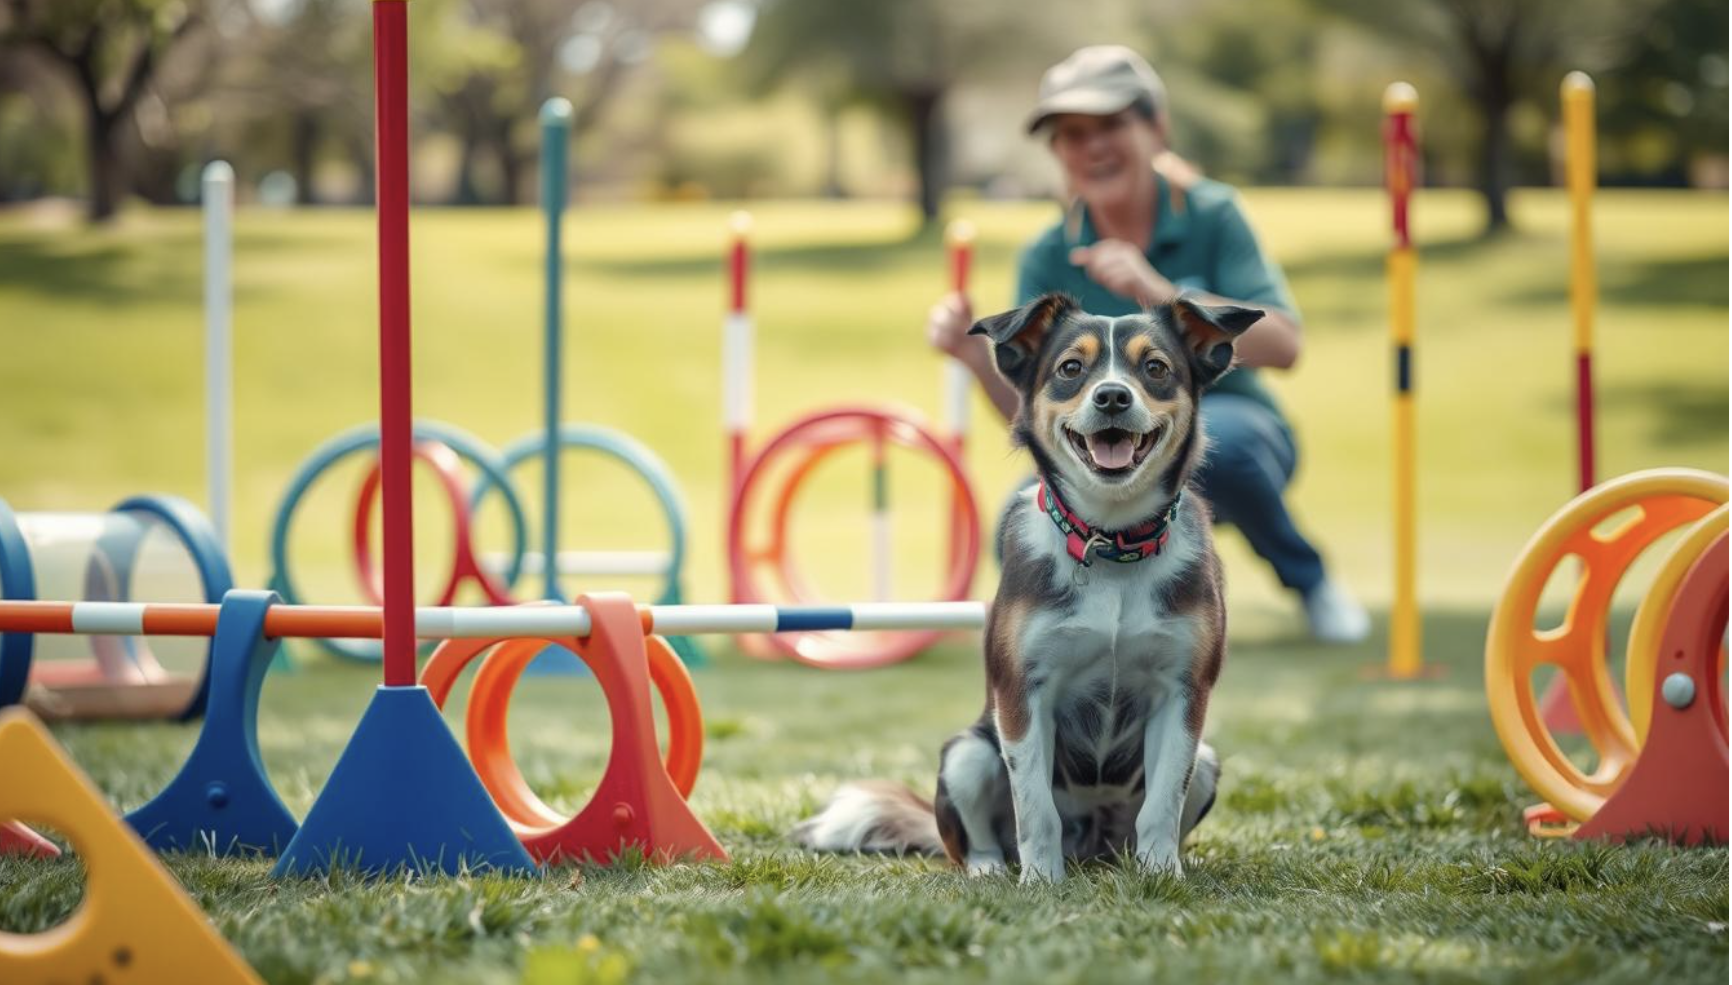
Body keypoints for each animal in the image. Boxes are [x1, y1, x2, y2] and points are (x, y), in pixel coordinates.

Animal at [789, 292, 1260, 882]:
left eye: (1155, 368)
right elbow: (1034, 808)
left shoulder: (1183, 694)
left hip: (1206, 761)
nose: (1112, 396)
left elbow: (1161, 806)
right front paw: (1041, 882)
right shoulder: (1023, 693)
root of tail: (1090, 848)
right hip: (966, 755)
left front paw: (1162, 877)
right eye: (1071, 369)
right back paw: (992, 871)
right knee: (976, 841)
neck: (1110, 543)